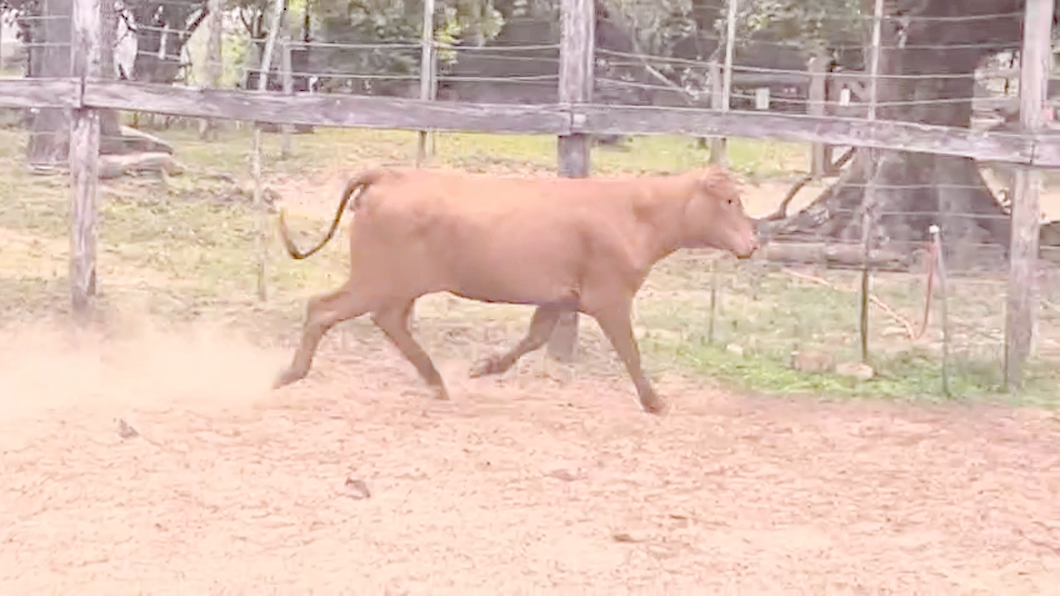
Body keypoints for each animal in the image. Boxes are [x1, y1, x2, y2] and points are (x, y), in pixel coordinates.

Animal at [271, 163, 754, 413]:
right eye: (729, 200)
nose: (752, 242)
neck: (637, 213)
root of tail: (390, 175)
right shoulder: (609, 298)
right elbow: (630, 351)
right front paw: (655, 401)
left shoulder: (558, 298)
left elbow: (534, 338)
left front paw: (485, 366)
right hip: (378, 279)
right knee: (323, 309)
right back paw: (288, 374)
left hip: (395, 286)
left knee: (388, 322)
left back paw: (437, 382)